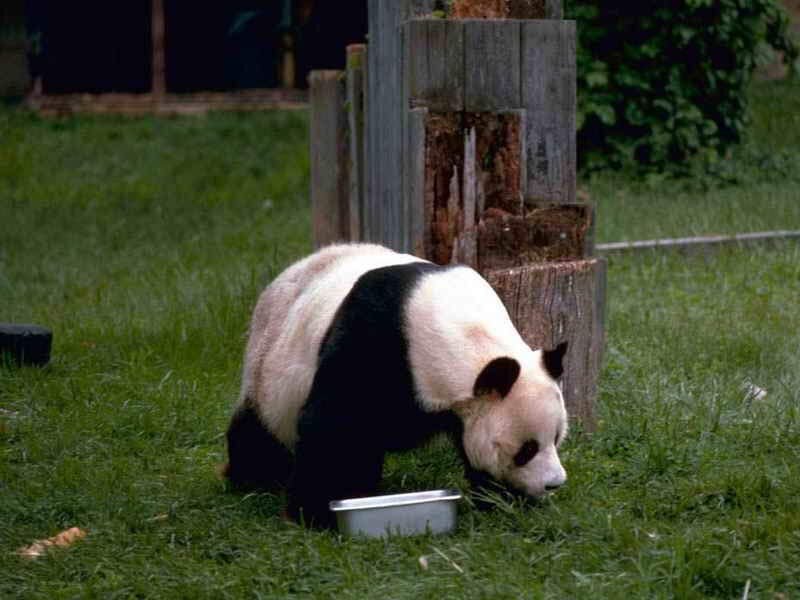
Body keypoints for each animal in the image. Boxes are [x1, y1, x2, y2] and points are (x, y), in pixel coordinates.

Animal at [224, 243, 568, 528]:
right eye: (527, 449)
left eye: (556, 438)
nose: (555, 483)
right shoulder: (372, 337)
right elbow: (331, 427)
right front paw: (313, 513)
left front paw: (503, 500)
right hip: (268, 369)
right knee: (260, 432)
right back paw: (253, 479)